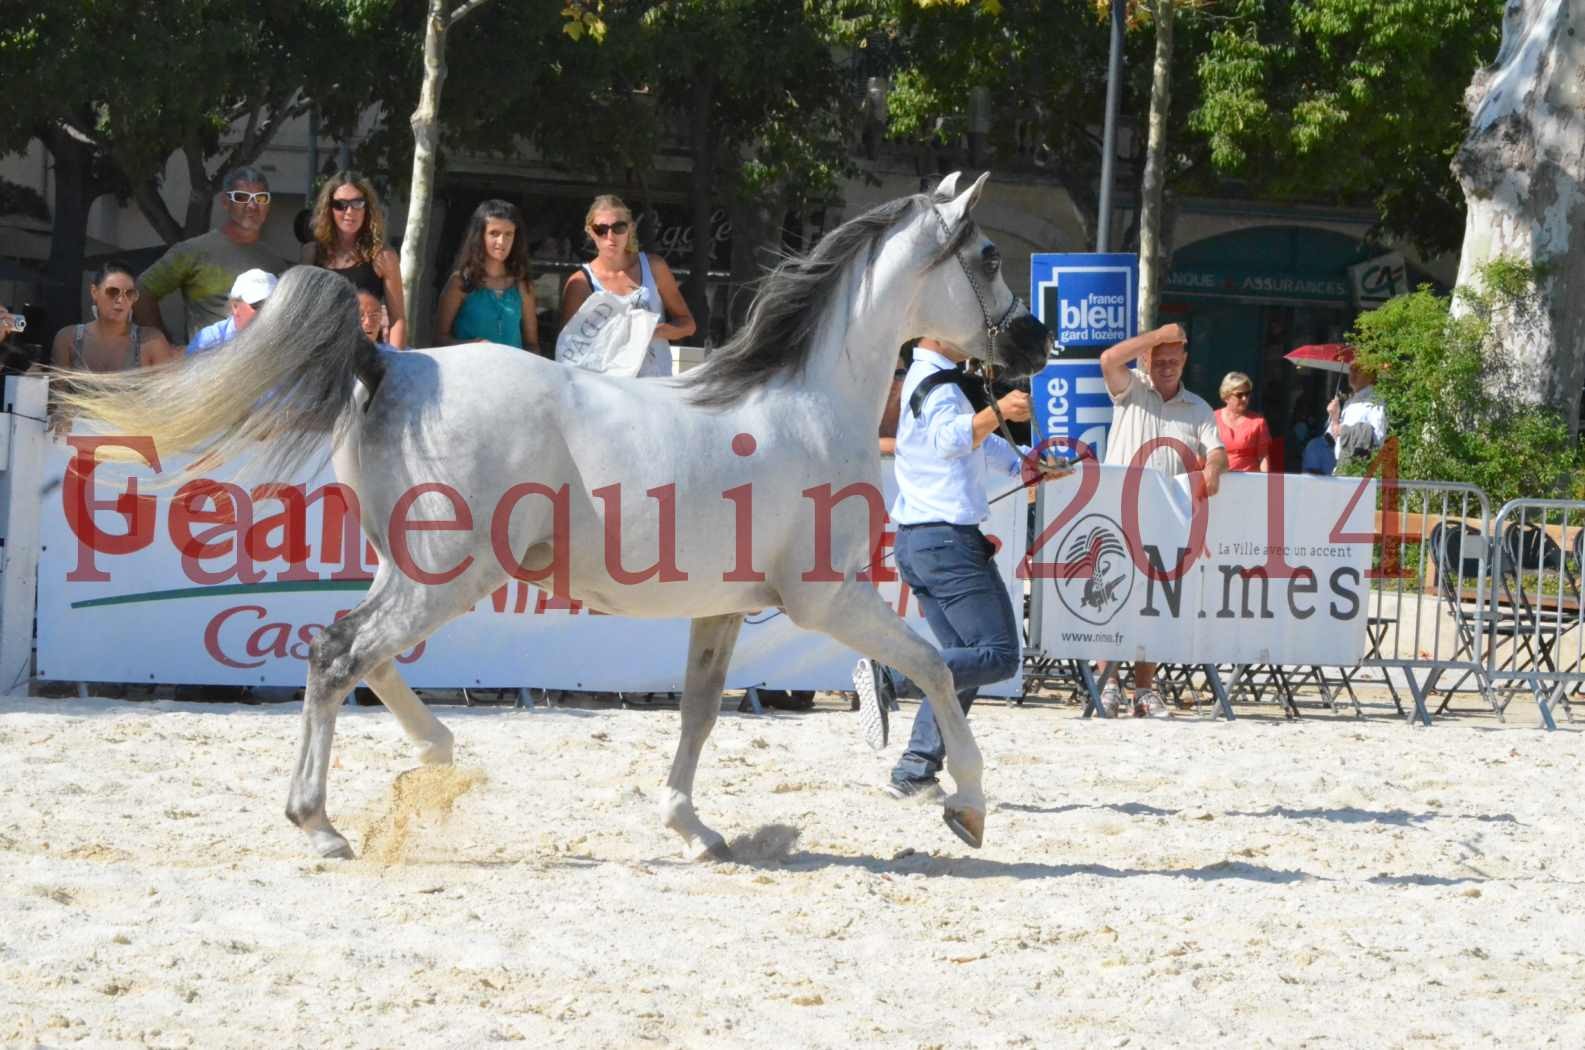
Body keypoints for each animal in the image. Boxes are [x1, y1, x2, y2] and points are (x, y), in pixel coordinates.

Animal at [58, 174, 1052, 862]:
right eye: (990, 256)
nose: (1036, 342)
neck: (804, 405)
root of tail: (391, 361)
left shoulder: (722, 610)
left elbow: (698, 715)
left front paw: (693, 830)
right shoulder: (827, 599)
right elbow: (930, 665)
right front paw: (967, 807)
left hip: (412, 566)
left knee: (361, 656)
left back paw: (437, 752)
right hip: (448, 575)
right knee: (338, 655)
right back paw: (321, 825)